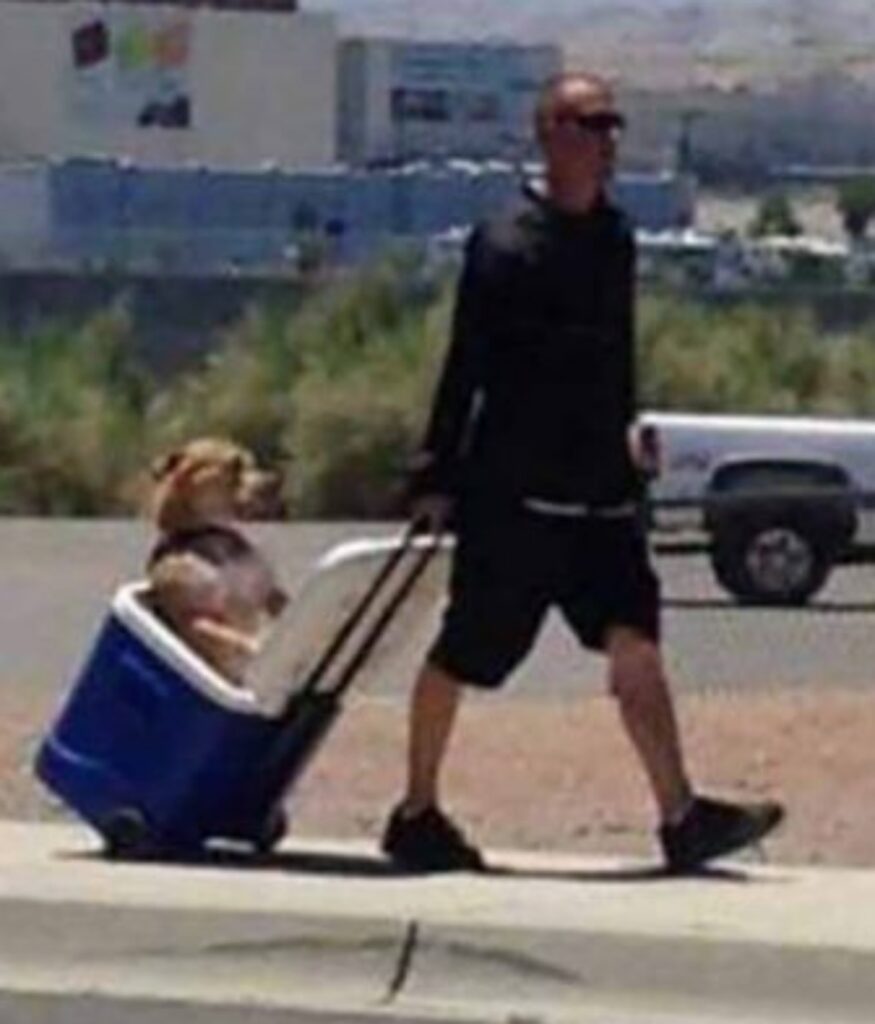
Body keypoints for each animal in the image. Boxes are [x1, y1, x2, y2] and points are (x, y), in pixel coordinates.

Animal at [146, 436, 286, 684]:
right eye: (235, 463)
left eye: (253, 462)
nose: (277, 480)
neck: (210, 534)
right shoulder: (197, 617)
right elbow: (231, 636)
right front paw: (257, 643)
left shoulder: (269, 592)